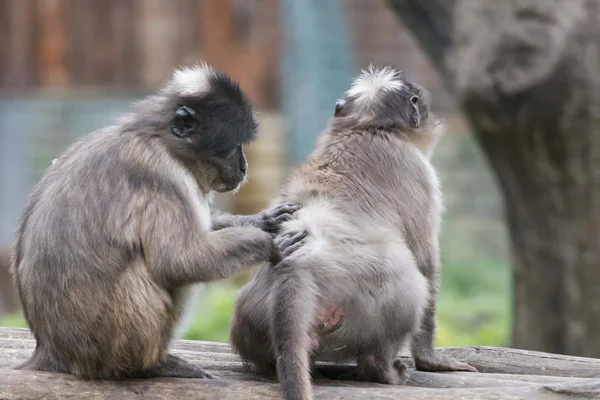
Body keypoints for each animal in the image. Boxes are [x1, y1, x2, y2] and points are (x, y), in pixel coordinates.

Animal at [12, 64, 304, 380]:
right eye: (232, 147)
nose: (244, 166)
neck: (158, 138)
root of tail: (51, 351)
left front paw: (263, 221)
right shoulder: (161, 175)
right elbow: (177, 261)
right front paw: (272, 245)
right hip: (105, 344)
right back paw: (151, 366)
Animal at [230, 65, 478, 400]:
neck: (365, 127)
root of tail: (296, 265)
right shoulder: (415, 167)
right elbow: (426, 260)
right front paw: (430, 360)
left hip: (252, 321)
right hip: (365, 302)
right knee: (413, 284)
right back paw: (380, 368)